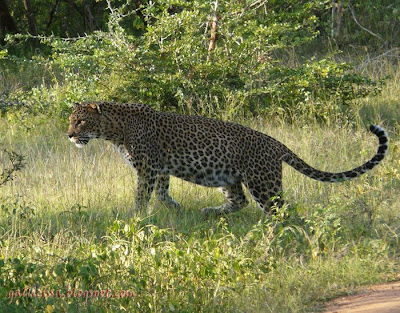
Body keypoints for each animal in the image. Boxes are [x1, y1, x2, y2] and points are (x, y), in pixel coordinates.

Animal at [68, 102, 388, 214]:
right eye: (72, 121)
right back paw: (212, 212)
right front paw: (174, 208)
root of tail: (276, 144)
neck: (114, 130)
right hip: (226, 176)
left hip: (263, 182)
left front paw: (136, 215)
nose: (70, 135)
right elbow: (162, 192)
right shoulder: (160, 168)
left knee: (279, 209)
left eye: (81, 121)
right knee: (240, 201)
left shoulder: (147, 168)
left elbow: (142, 194)